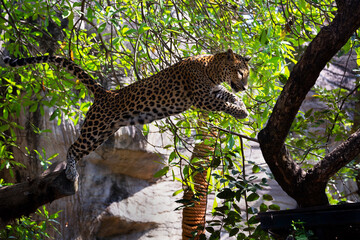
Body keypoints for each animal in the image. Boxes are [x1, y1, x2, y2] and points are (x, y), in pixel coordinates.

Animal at [2, 49, 250, 182]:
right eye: (240, 73)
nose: (246, 87)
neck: (212, 69)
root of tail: (106, 93)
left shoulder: (213, 91)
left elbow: (227, 95)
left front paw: (241, 104)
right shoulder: (201, 98)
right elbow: (224, 104)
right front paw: (241, 111)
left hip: (101, 134)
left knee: (79, 149)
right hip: (94, 129)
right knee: (72, 148)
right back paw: (71, 173)